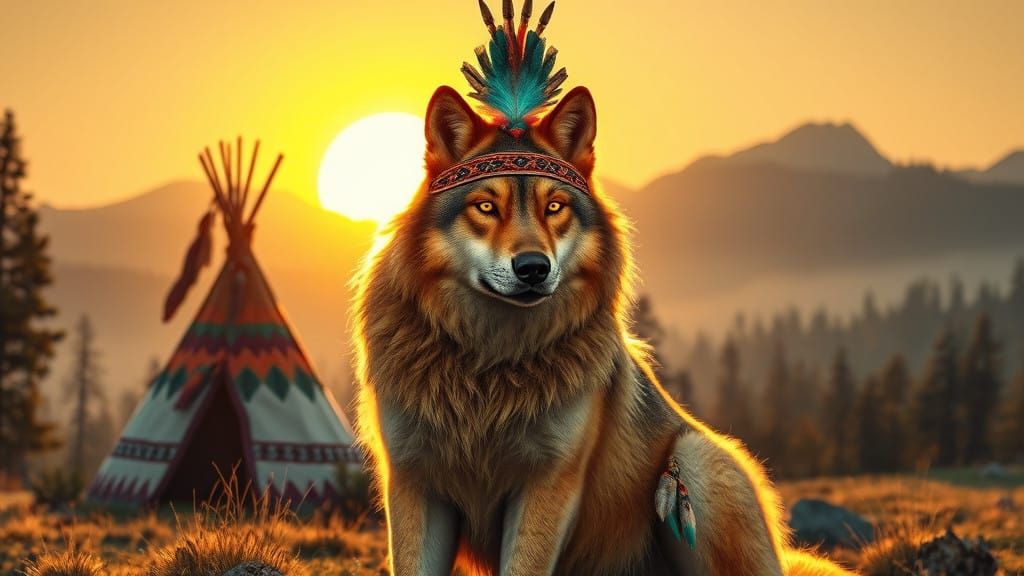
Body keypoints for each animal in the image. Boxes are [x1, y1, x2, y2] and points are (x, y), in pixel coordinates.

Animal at [352, 85, 854, 575]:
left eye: (555, 207)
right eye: (486, 207)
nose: (533, 268)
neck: (489, 367)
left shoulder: (549, 482)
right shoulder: (414, 481)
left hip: (694, 462)